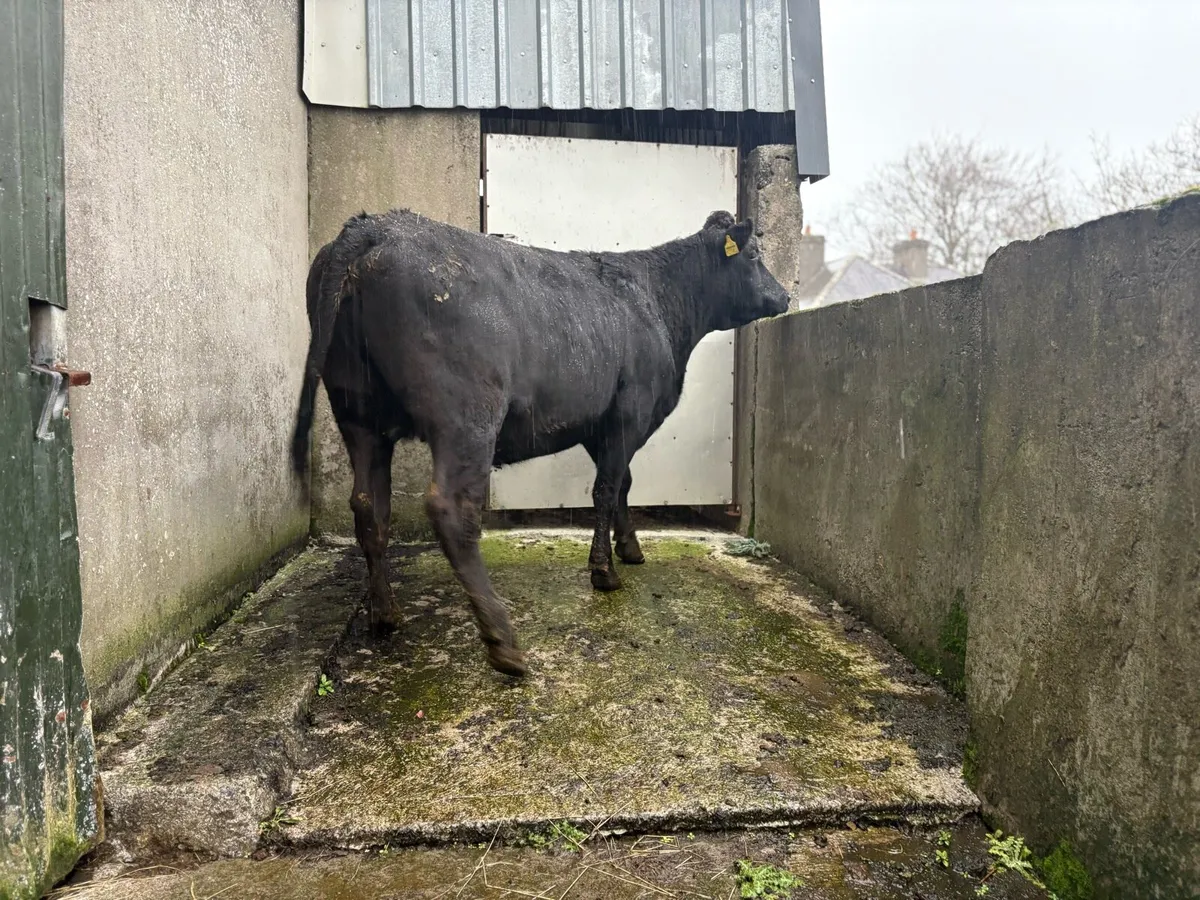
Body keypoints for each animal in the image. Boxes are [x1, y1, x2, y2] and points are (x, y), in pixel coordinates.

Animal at [290, 208, 790, 678]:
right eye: (753, 255)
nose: (785, 296)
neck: (656, 305)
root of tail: (372, 225)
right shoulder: (628, 413)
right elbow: (606, 489)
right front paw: (603, 570)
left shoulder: (598, 423)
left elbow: (623, 484)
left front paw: (629, 549)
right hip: (467, 416)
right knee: (451, 508)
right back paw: (502, 641)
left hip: (358, 415)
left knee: (368, 507)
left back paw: (385, 613)